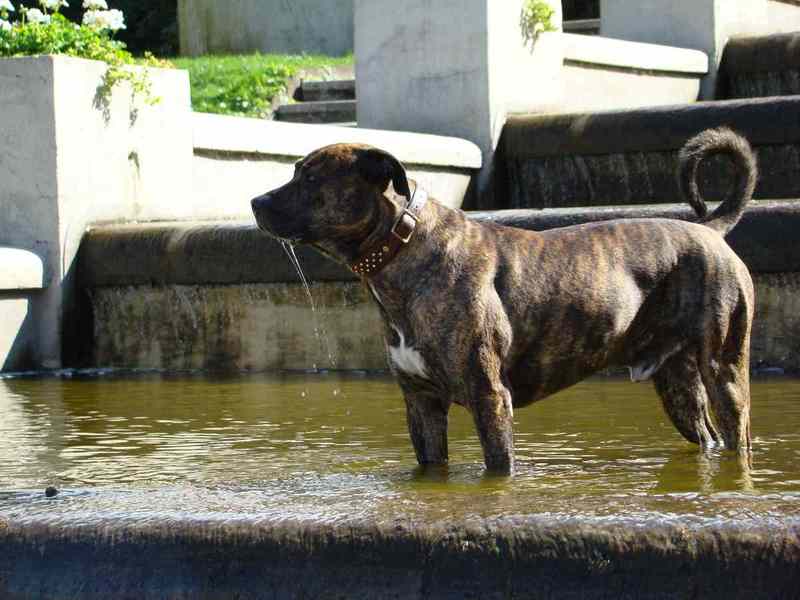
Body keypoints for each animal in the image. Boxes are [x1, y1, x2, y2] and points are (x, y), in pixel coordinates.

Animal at [252, 127, 756, 474]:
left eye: (309, 177)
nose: (256, 201)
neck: (405, 247)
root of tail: (709, 230)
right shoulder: (422, 405)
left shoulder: (489, 397)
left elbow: (499, 466)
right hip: (678, 385)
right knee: (706, 435)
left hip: (725, 371)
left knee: (736, 433)